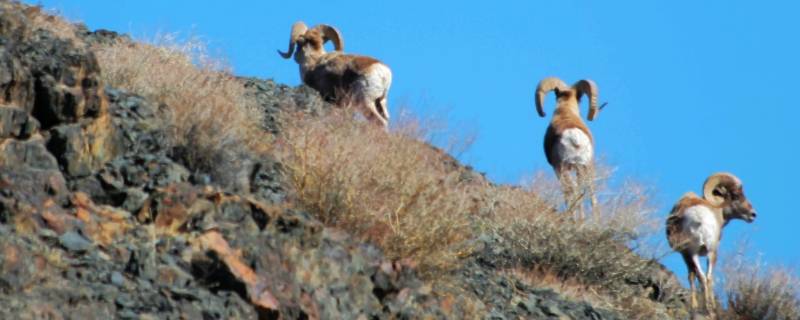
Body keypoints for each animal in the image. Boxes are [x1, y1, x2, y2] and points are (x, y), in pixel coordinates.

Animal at [536, 77, 600, 215]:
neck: (565, 111)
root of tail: (574, 137)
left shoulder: (556, 168)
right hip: (586, 167)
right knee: (591, 194)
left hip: (564, 167)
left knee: (572, 191)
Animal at [668, 174, 756, 314]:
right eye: (736, 195)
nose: (753, 214)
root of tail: (698, 217)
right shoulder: (686, 254)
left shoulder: (685, 254)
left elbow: (691, 276)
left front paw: (694, 306)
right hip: (709, 252)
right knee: (708, 278)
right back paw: (710, 308)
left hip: (696, 253)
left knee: (703, 277)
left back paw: (708, 308)